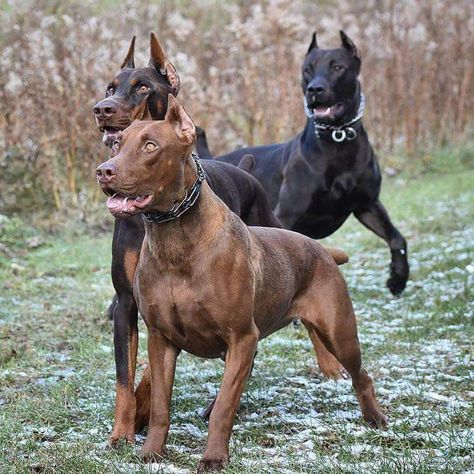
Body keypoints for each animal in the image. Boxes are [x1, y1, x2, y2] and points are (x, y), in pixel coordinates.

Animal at [94, 33, 282, 444]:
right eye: (110, 88)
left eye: (143, 87)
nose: (102, 109)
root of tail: (245, 170)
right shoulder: (127, 300)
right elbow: (124, 376)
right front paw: (123, 431)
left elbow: (151, 371)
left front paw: (144, 411)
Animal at [215, 30, 408, 292]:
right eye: (308, 69)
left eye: (337, 67)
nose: (314, 89)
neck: (338, 140)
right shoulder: (286, 215)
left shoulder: (367, 205)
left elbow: (397, 238)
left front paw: (398, 278)